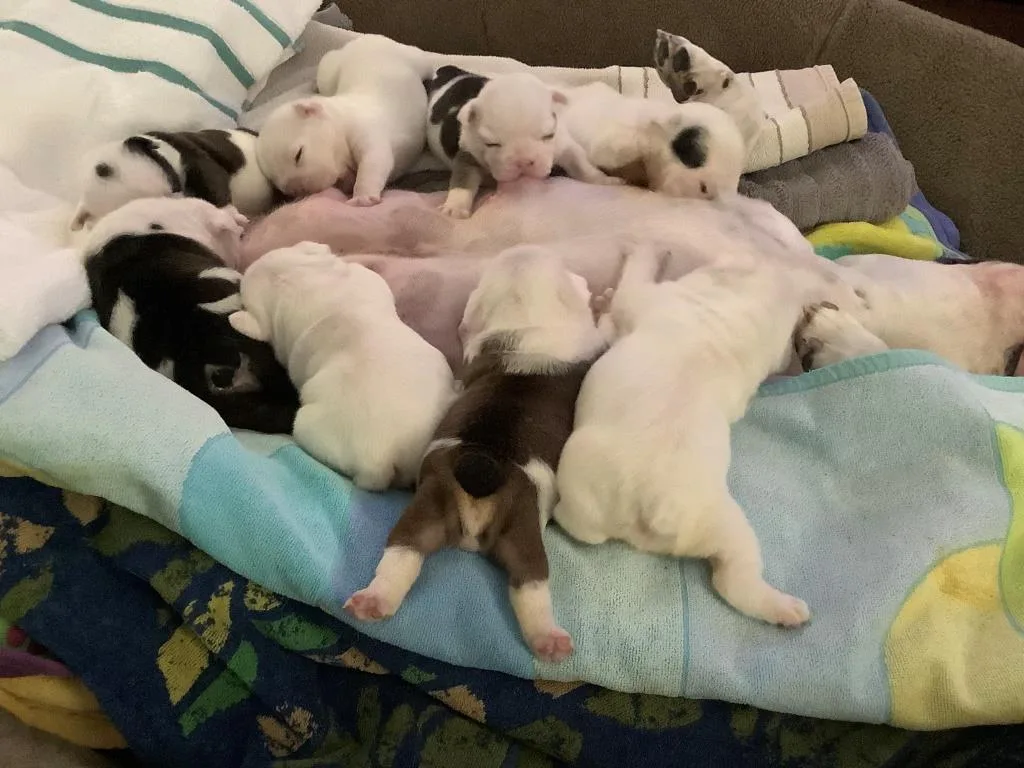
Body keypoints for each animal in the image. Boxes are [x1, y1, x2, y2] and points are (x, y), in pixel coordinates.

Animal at [256, 35, 432, 205]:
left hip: (409, 56)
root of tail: (358, 42)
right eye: (275, 182)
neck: (339, 118)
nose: (297, 192)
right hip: (329, 73)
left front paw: (362, 197)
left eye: (298, 155)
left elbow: (373, 161)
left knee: (423, 58)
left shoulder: (365, 131)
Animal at [344, 245, 607, 661]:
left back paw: (375, 600)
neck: (527, 318)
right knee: (532, 582)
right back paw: (550, 641)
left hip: (427, 512)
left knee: (403, 554)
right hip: (523, 527)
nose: (525, 249)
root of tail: (483, 465)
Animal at [424, 67, 622, 218]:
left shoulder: (564, 144)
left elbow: (582, 165)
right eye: (492, 144)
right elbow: (463, 179)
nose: (524, 162)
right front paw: (454, 208)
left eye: (548, 135)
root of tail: (450, 72)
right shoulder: (468, 152)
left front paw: (604, 180)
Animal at [554, 245, 814, 626]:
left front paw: (643, 252)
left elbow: (632, 281)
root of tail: (659, 509)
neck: (730, 326)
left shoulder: (644, 298)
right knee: (734, 579)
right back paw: (787, 609)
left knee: (581, 528)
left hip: (583, 487)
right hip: (723, 524)